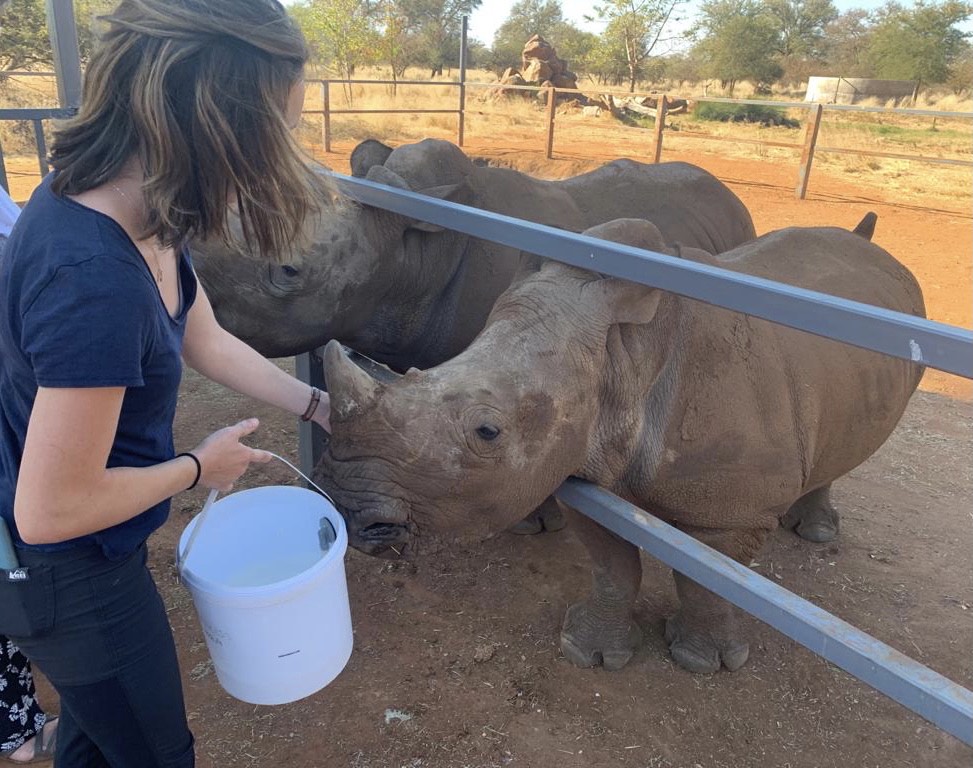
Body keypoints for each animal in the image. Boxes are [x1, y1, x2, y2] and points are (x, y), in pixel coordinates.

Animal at [313, 218, 925, 674]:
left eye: (488, 431)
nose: (345, 504)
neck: (623, 356)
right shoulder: (583, 470)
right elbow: (614, 566)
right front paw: (591, 654)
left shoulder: (734, 511)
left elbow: (706, 581)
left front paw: (700, 663)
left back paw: (817, 534)